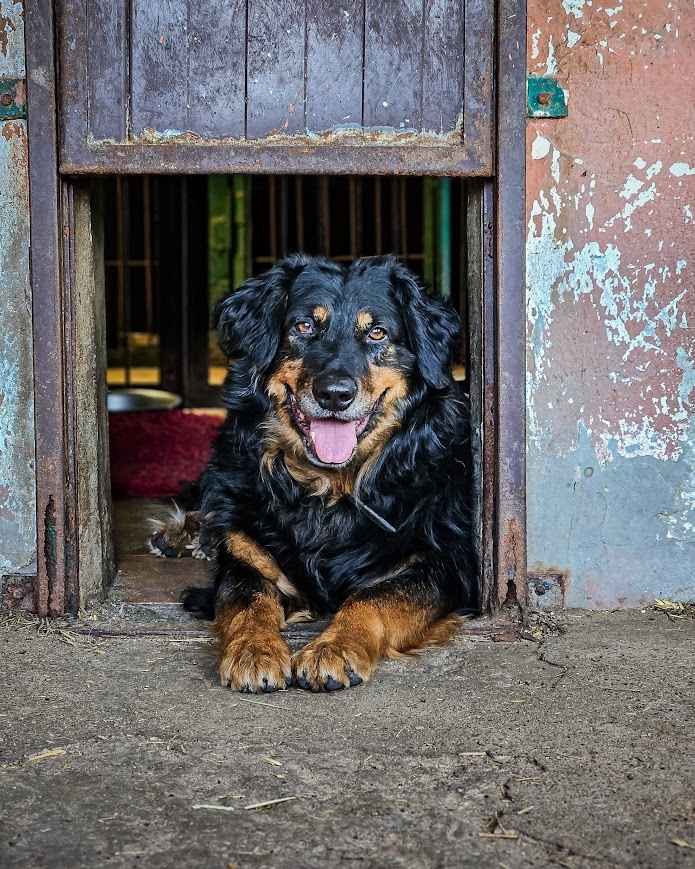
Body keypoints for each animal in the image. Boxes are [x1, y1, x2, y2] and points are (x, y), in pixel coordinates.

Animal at [154, 251, 476, 692]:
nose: (335, 395)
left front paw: (335, 648)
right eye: (304, 326)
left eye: (377, 333)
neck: (330, 489)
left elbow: (372, 597)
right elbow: (248, 601)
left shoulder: (442, 562)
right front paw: (254, 650)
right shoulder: (246, 556)